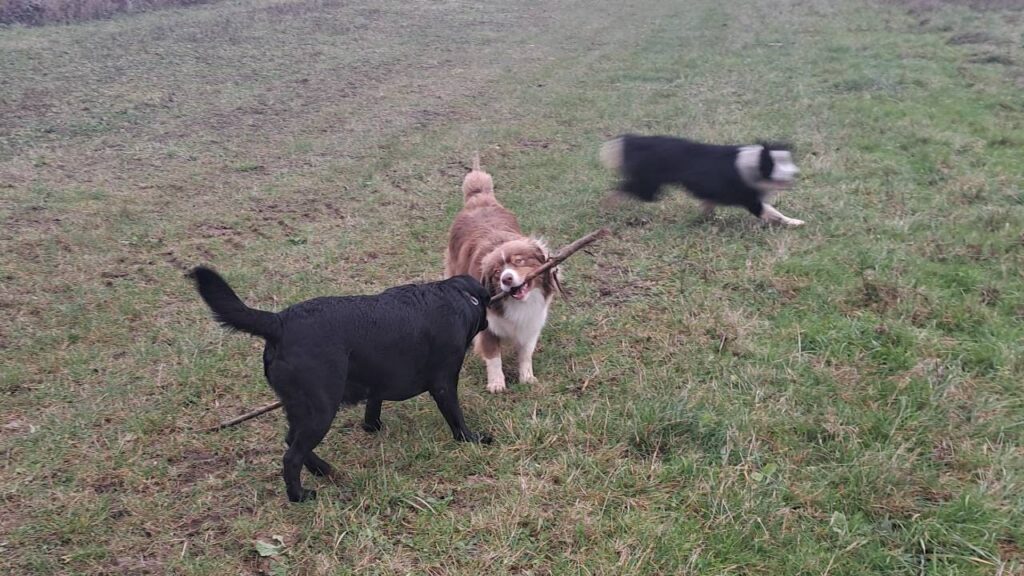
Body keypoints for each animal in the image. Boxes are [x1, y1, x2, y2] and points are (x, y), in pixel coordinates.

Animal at [194, 266, 495, 500]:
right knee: (291, 456)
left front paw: (372, 427)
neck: (460, 296)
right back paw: (299, 496)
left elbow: (373, 405)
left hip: (301, 406)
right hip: (321, 408)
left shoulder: (378, 380)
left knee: (291, 440)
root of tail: (279, 322)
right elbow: (456, 417)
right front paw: (472, 439)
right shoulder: (444, 382)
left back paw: (321, 469)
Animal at [598, 133, 806, 225]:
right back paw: (607, 205)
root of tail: (637, 139)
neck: (755, 162)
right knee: (619, 191)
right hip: (648, 187)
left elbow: (707, 206)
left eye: (788, 160)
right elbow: (775, 213)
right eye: (776, 163)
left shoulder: (712, 194)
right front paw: (795, 222)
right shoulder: (751, 201)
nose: (795, 173)